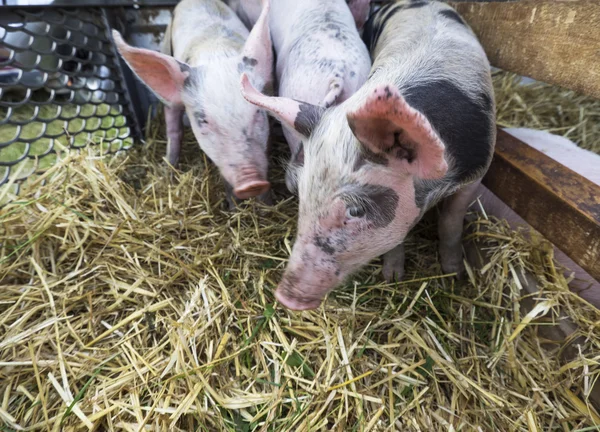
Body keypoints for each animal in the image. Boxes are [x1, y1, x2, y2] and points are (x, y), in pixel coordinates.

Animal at [111, 0, 274, 208]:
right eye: (202, 120)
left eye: (258, 112)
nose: (252, 183)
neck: (216, 53)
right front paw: (232, 208)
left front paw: (266, 204)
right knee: (173, 130)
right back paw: (169, 171)